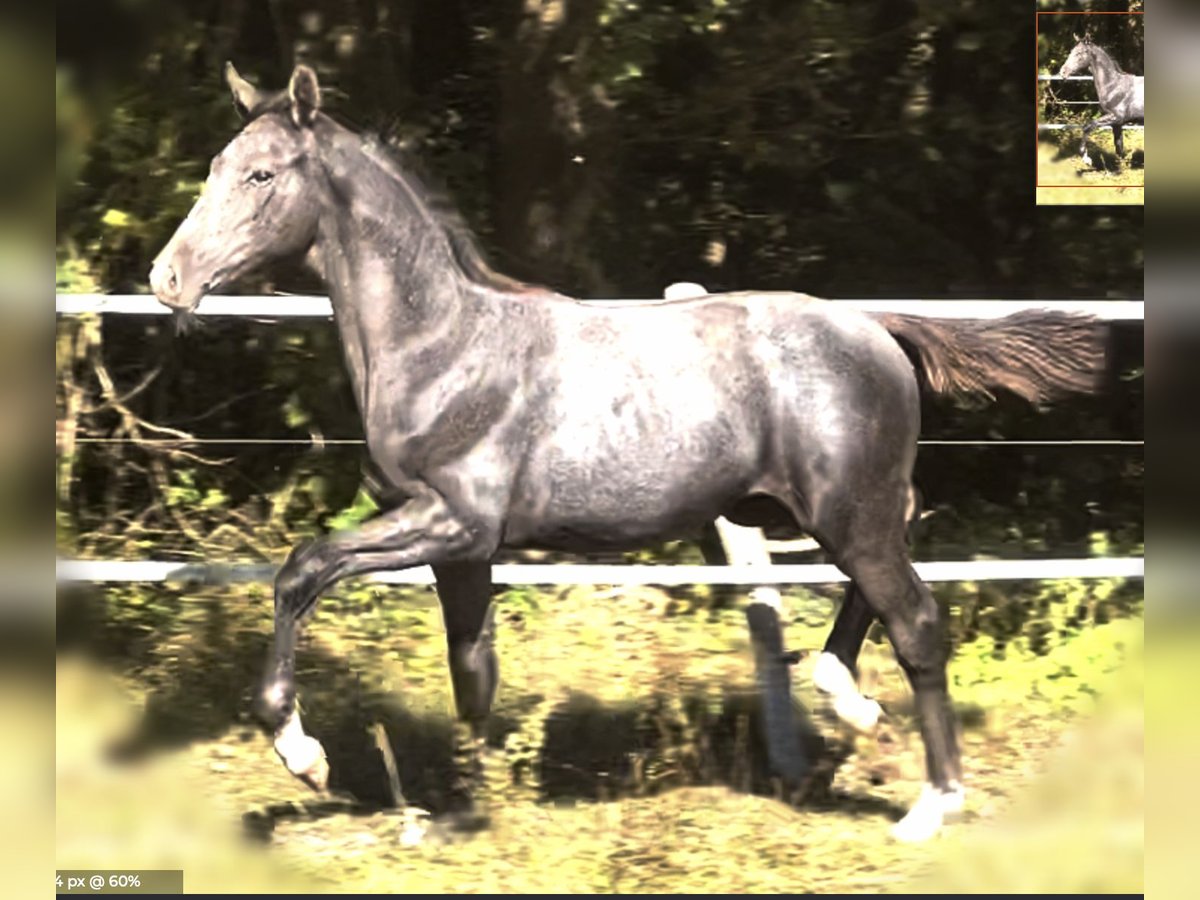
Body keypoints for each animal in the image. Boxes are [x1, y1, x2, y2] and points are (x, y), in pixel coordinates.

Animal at [150, 65, 1104, 844]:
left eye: (262, 174)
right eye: (215, 166)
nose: (167, 278)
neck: (442, 347)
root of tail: (875, 325)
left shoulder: (449, 521)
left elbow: (303, 569)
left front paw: (303, 754)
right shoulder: (465, 550)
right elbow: (473, 673)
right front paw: (465, 813)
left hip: (850, 513)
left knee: (917, 622)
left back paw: (931, 804)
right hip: (830, 513)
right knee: (891, 585)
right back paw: (850, 700)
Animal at [1060, 35, 1142, 168]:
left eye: (1079, 53)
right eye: (1071, 52)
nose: (1062, 72)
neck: (1113, 86)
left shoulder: (1116, 117)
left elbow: (1088, 126)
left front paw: (1086, 158)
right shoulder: (1117, 124)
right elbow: (1119, 147)